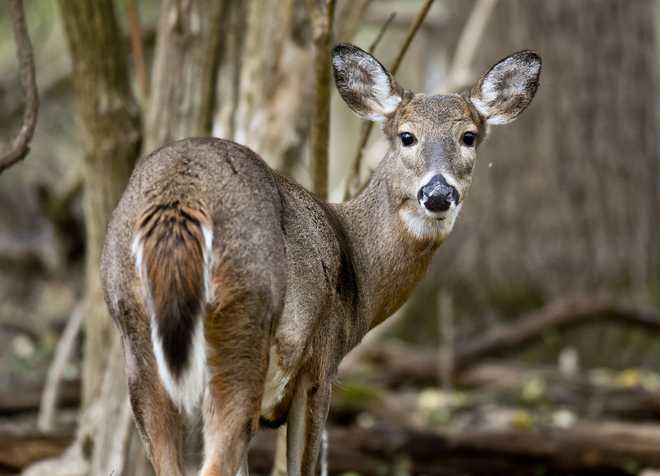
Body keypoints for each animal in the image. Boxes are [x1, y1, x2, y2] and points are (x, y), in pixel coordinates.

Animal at [101, 43, 541, 476]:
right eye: (407, 136)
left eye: (469, 136)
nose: (437, 194)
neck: (356, 264)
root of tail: (180, 196)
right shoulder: (320, 365)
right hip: (242, 325)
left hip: (136, 339)